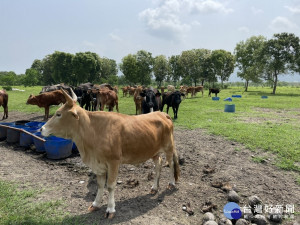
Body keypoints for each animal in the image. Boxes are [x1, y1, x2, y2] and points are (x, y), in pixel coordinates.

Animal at [40, 89, 179, 218]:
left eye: (58, 114)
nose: (42, 129)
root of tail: (162, 113)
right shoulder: (99, 164)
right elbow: (100, 185)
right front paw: (95, 204)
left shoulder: (113, 162)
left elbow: (110, 185)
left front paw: (110, 209)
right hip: (154, 151)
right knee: (158, 164)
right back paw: (154, 187)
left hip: (169, 147)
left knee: (171, 163)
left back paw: (171, 183)